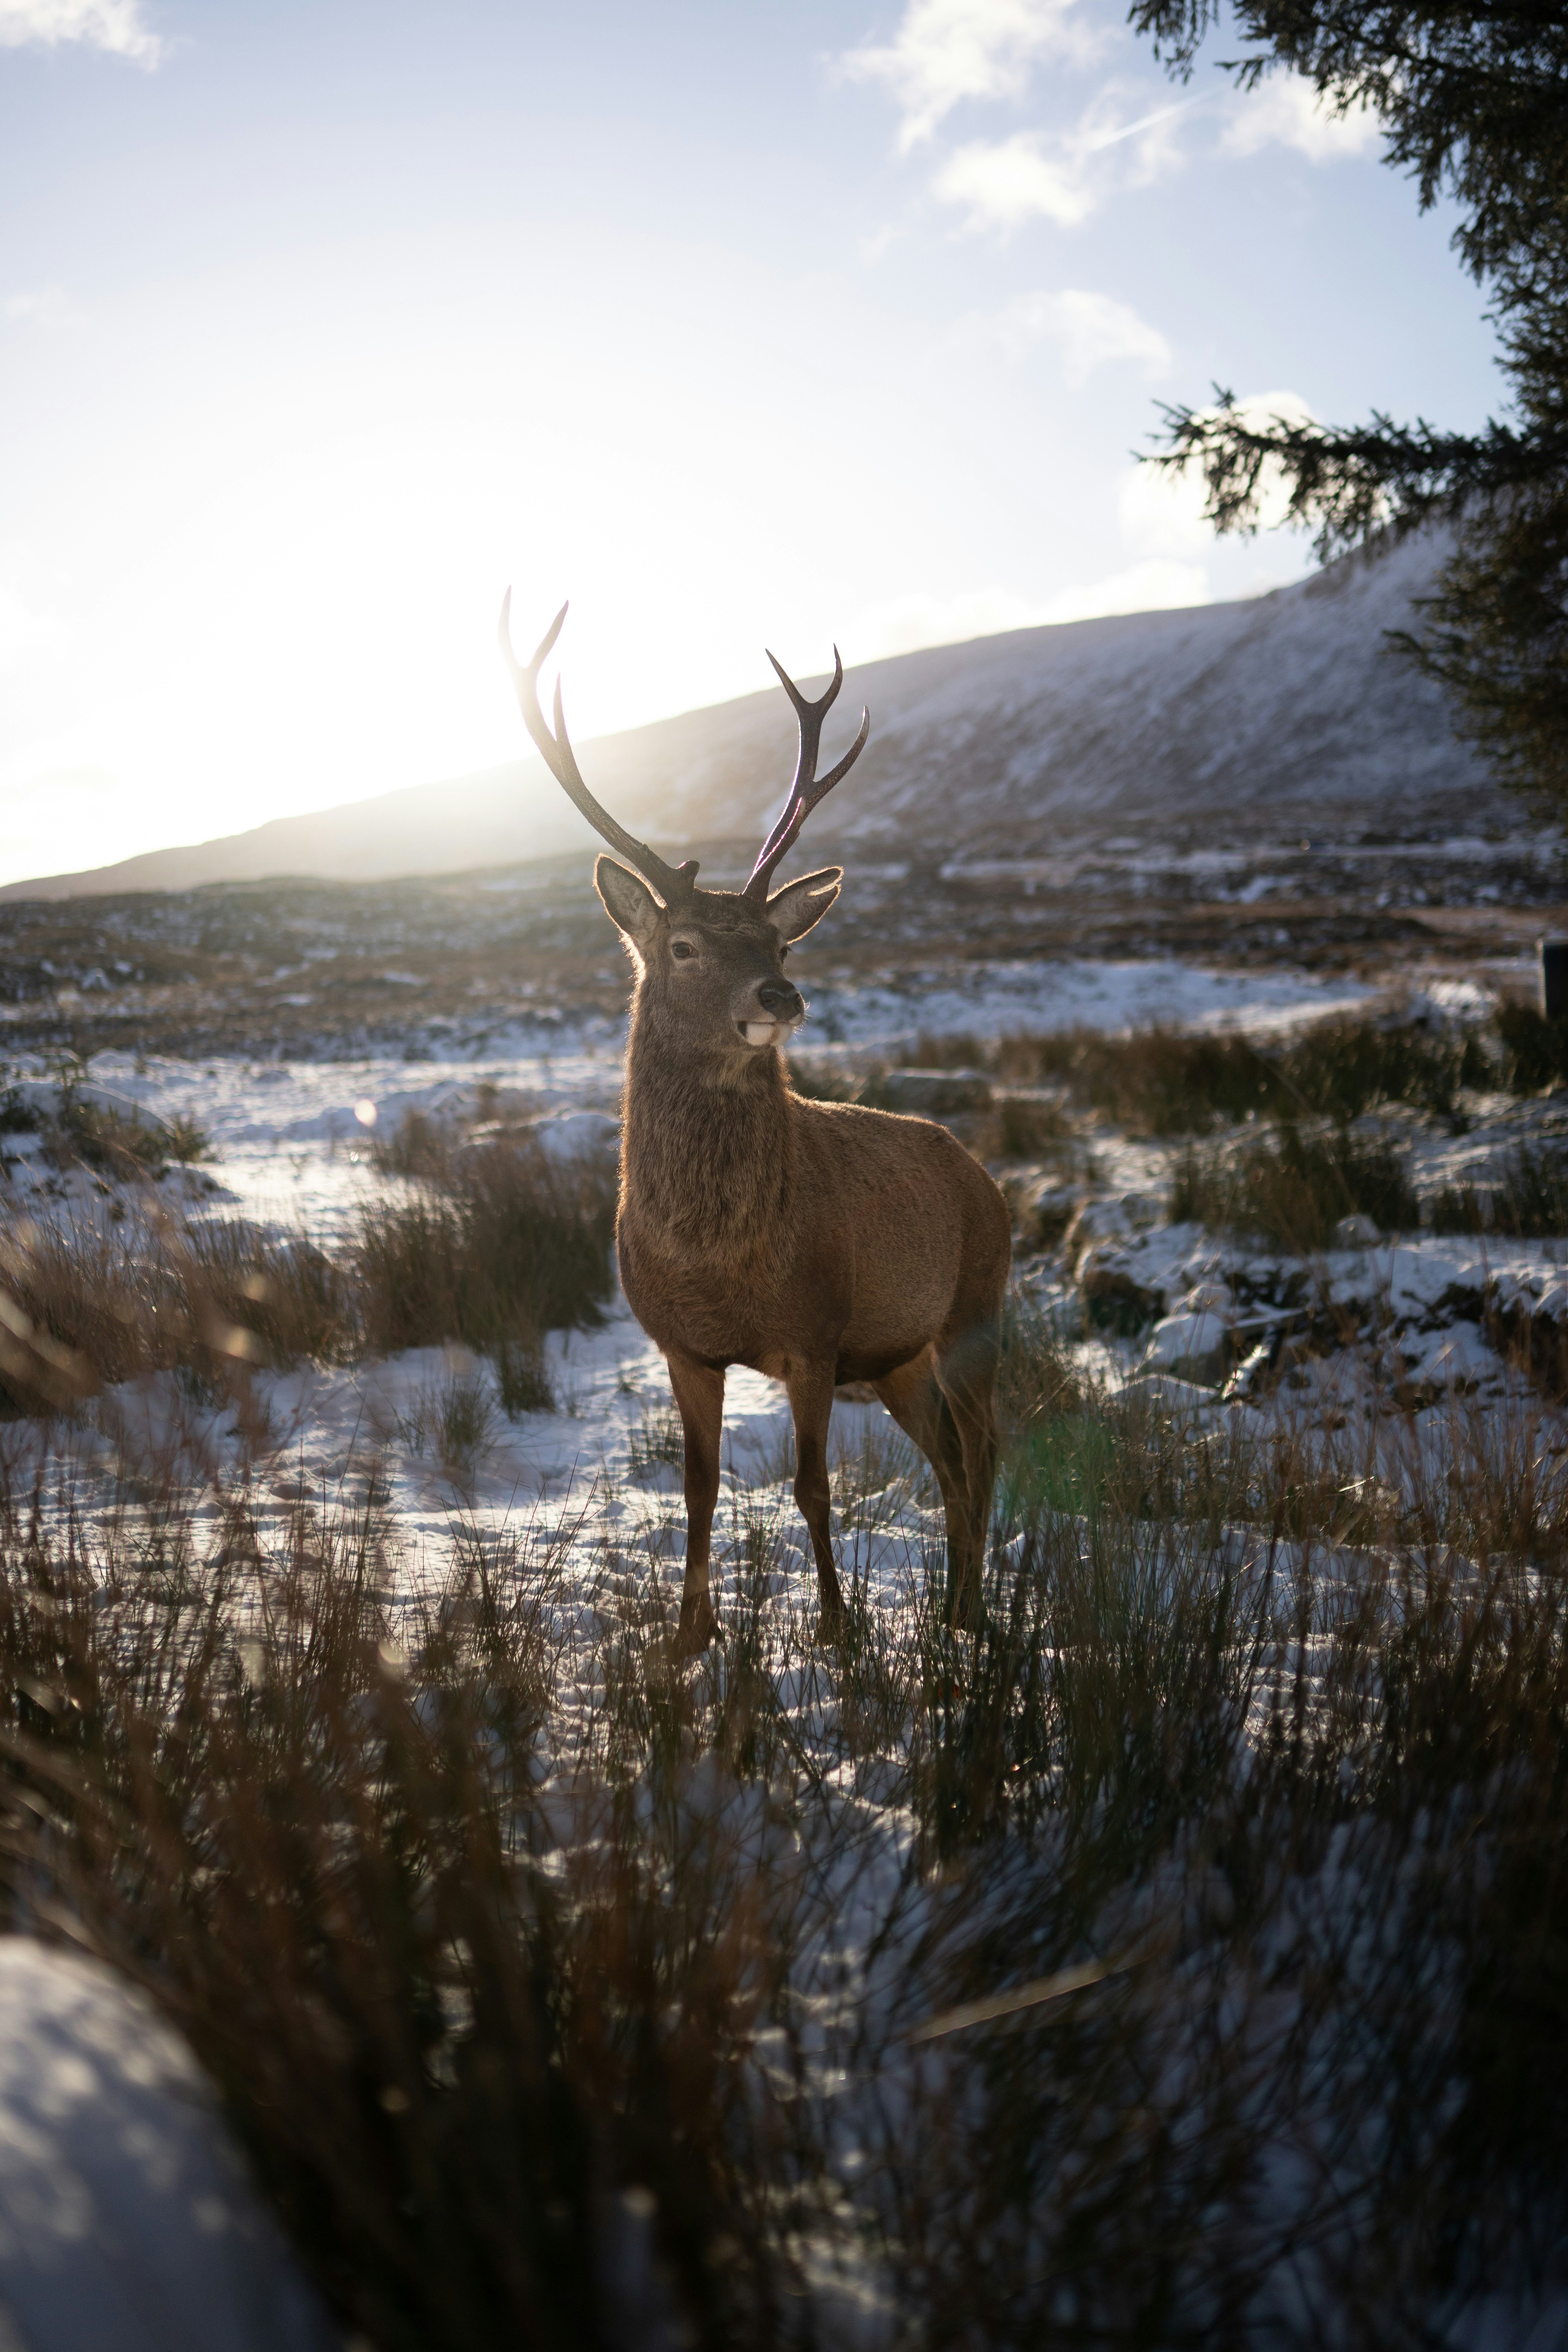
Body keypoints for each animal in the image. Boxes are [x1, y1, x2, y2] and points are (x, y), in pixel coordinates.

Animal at [499, 597, 1012, 1656]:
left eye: (780, 940)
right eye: (685, 945)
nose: (781, 993)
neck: (718, 1254)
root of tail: (987, 1178)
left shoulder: (813, 1336)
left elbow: (814, 1487)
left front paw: (839, 1631)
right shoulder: (681, 1346)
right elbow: (697, 1490)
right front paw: (689, 1635)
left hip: (976, 1307)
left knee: (986, 1447)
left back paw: (973, 1612)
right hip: (900, 1356)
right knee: (948, 1458)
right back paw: (953, 1607)